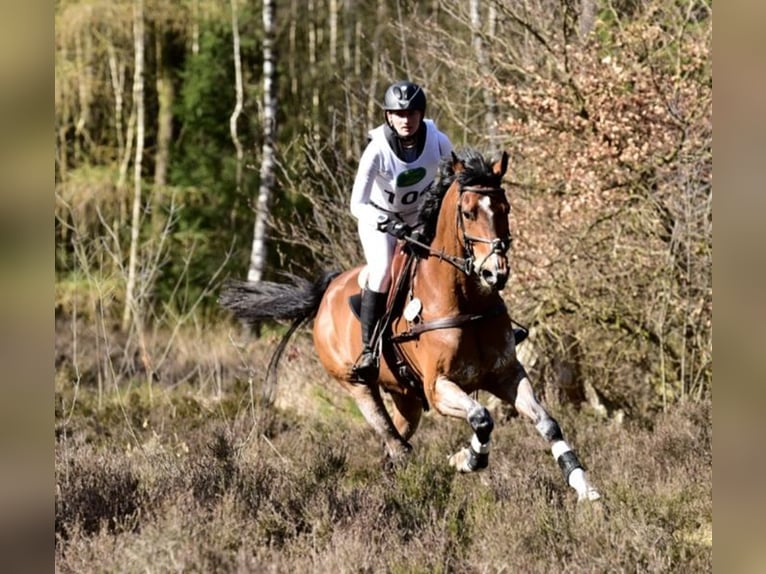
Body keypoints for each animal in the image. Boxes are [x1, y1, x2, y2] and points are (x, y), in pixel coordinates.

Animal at [219, 150, 604, 504]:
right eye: (468, 212)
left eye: (505, 208)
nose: (495, 273)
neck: (465, 300)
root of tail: (326, 291)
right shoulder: (439, 387)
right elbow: (481, 418)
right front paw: (465, 459)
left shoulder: (506, 374)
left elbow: (547, 423)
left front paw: (584, 487)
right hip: (358, 386)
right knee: (396, 444)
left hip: (407, 398)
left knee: (395, 445)